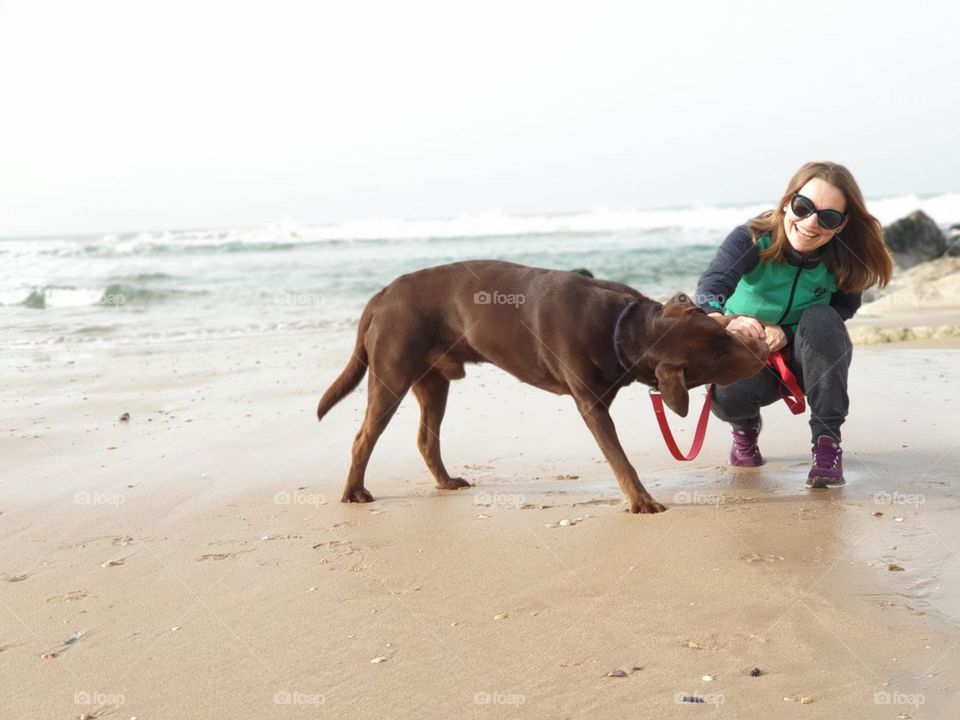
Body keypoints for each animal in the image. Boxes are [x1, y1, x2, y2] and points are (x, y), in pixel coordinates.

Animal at [318, 262, 768, 516]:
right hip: (391, 371)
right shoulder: (591, 405)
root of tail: (380, 296)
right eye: (719, 356)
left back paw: (445, 482)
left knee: (426, 438)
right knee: (364, 437)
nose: (764, 346)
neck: (624, 328)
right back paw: (353, 491)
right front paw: (641, 501)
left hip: (432, 380)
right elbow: (619, 458)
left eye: (720, 334)